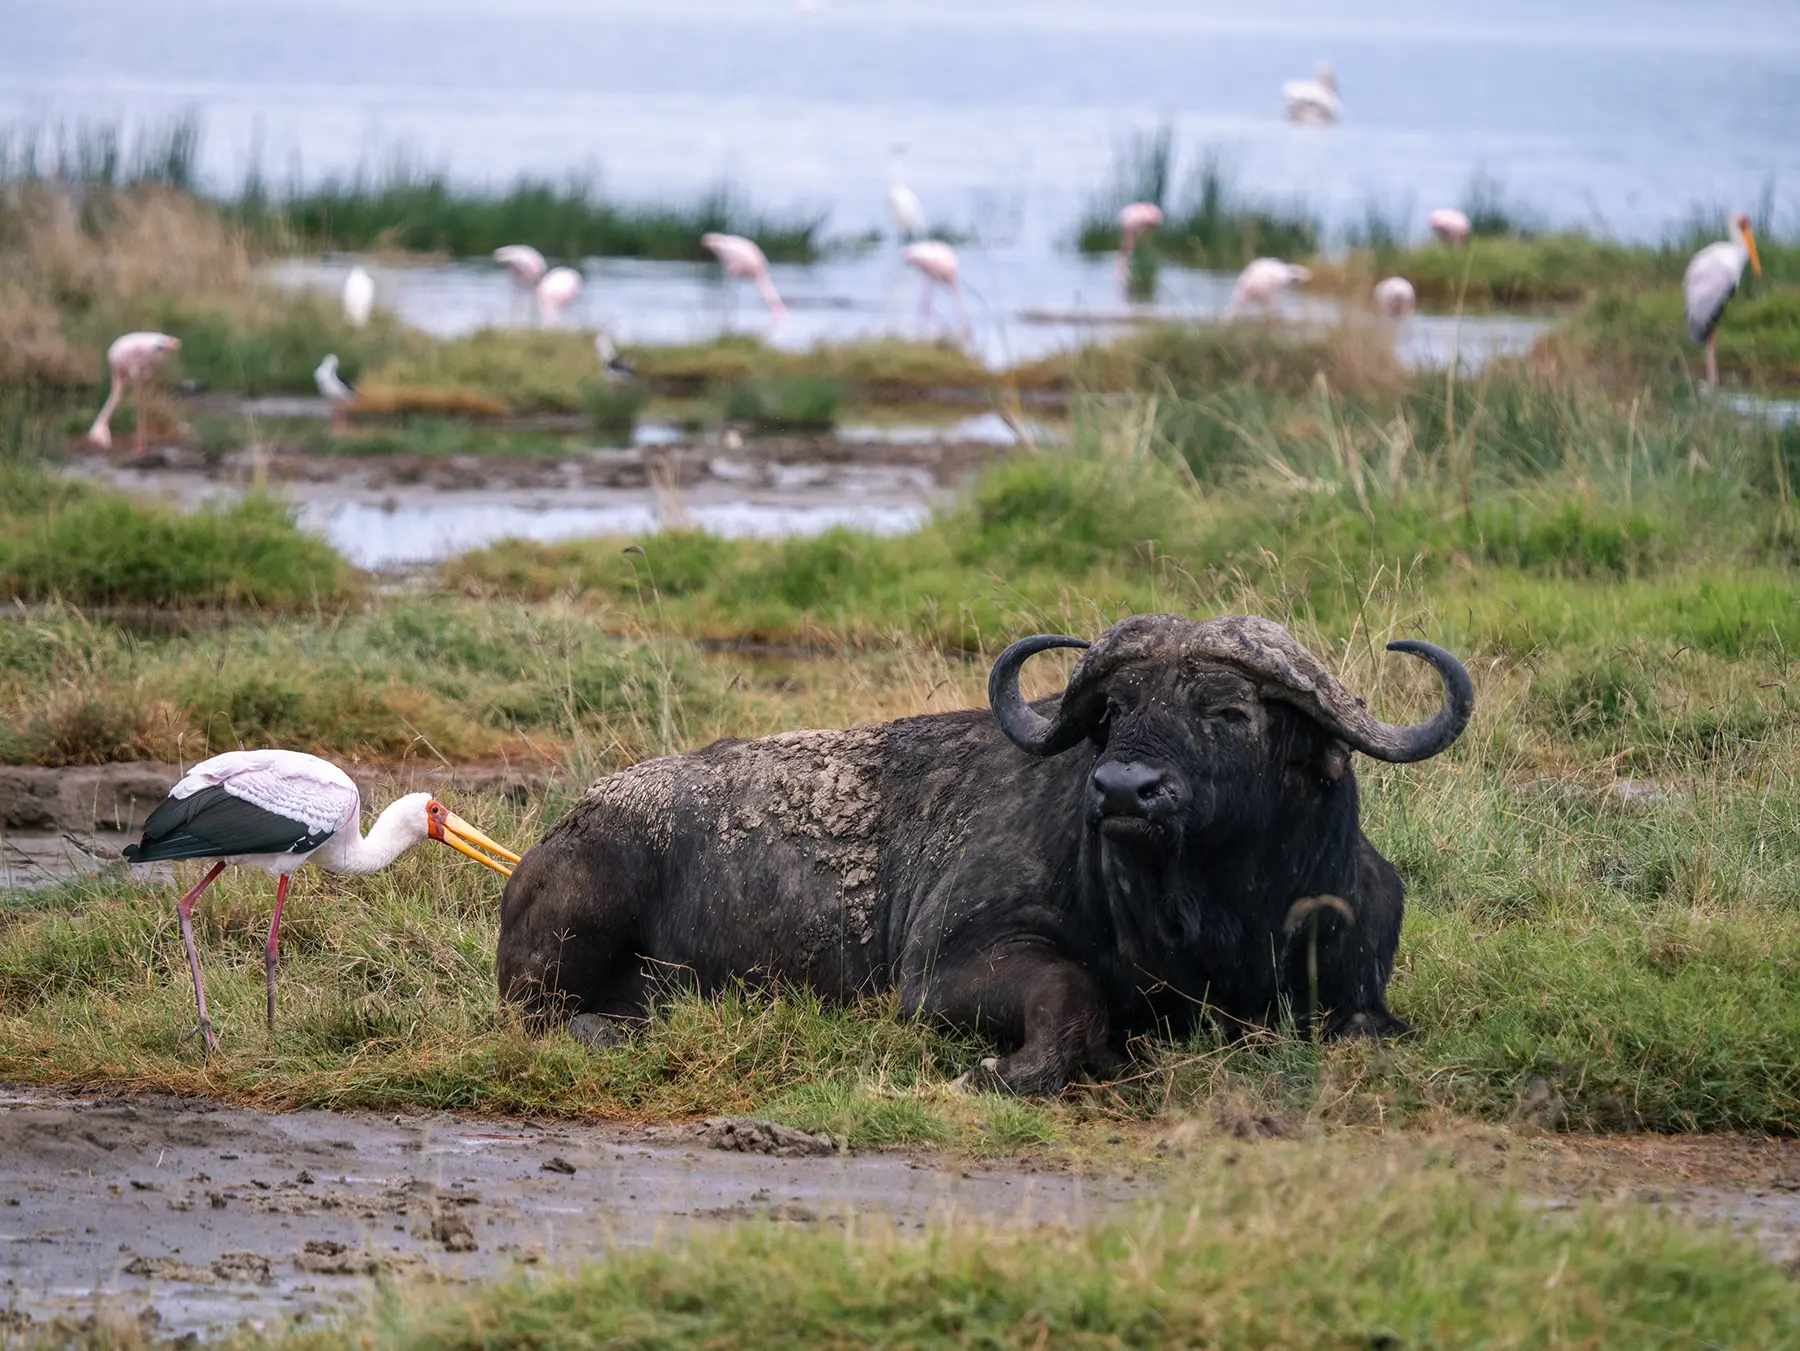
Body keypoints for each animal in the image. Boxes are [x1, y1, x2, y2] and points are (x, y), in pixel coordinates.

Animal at [496, 613, 1473, 1094]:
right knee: (540, 1014)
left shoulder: (1361, 983)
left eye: (1229, 711)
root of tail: (563, 826)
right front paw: (1016, 1068)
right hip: (573, 918)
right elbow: (1072, 995)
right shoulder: (944, 976)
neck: (1207, 928)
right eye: (1115, 710)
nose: (1124, 791)